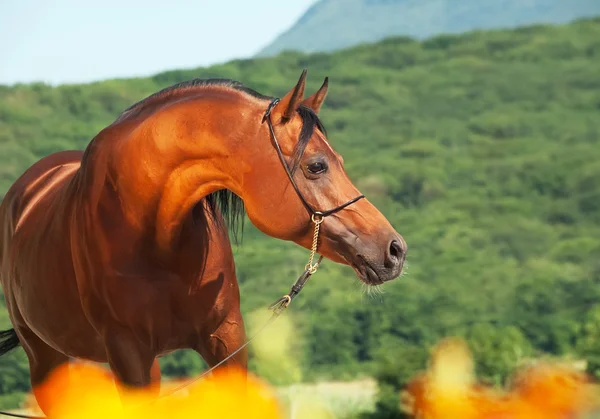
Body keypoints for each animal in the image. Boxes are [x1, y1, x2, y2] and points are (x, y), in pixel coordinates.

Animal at [0, 70, 406, 416]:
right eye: (317, 165)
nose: (394, 250)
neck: (153, 234)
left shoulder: (225, 337)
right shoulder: (129, 354)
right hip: (47, 360)